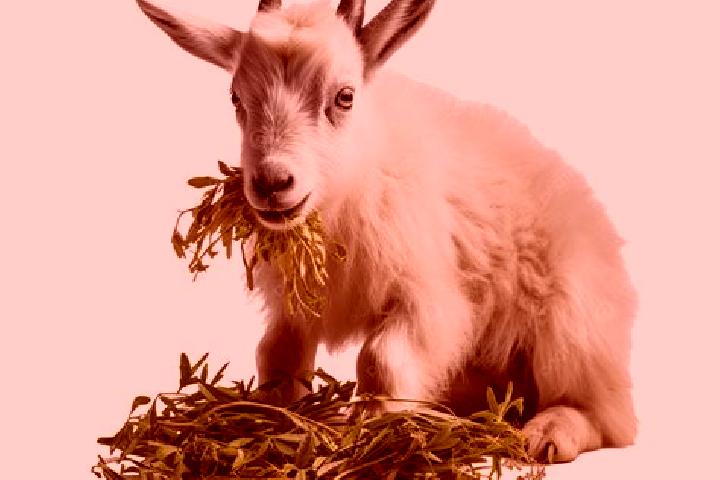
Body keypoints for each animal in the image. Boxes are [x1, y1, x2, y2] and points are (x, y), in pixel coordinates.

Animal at [137, 0, 637, 462]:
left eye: (344, 96)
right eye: (236, 98)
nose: (272, 183)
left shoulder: (429, 296)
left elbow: (379, 359)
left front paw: (378, 432)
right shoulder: (298, 305)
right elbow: (275, 353)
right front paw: (274, 417)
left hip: (572, 328)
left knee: (604, 415)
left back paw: (548, 434)